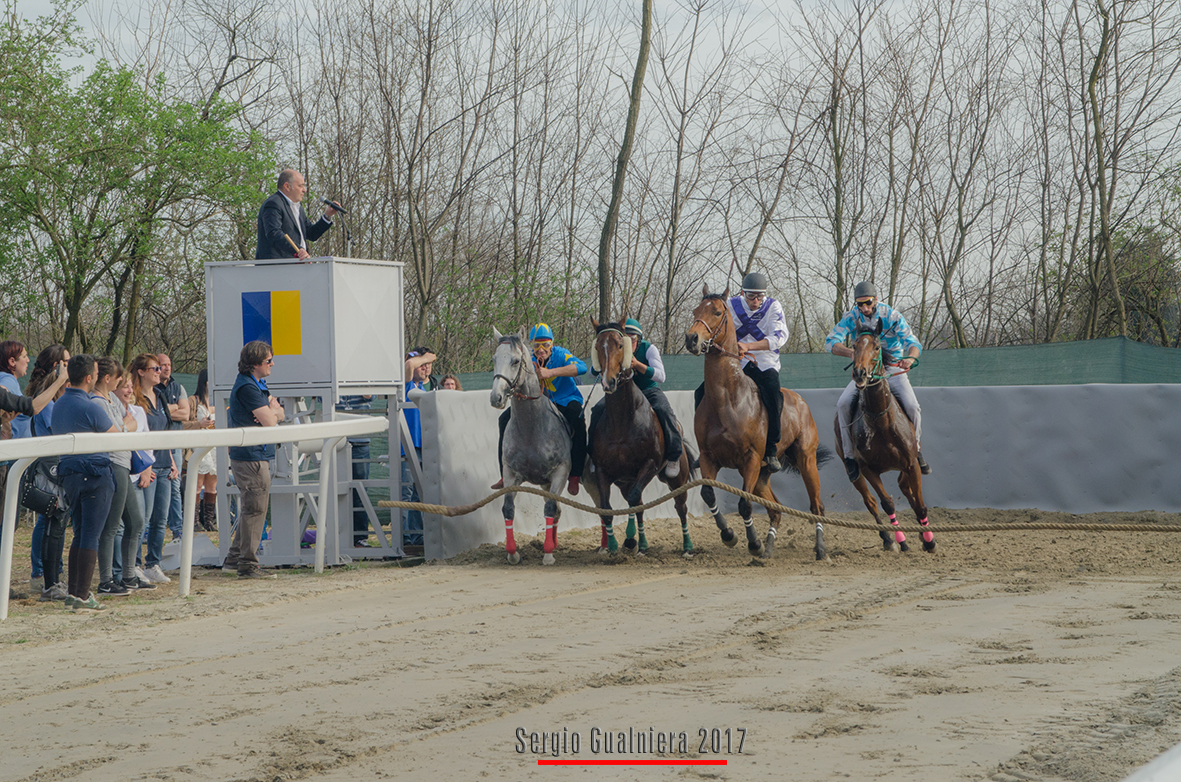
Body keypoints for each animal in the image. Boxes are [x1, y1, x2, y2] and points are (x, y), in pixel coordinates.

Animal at [488, 328, 571, 567]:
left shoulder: (560, 472)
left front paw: (548, 553)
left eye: (516, 361)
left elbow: (550, 508)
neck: (531, 427)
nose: (496, 397)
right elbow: (508, 508)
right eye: (494, 359)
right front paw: (513, 553)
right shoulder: (511, 473)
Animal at [581, 318, 689, 557]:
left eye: (621, 345)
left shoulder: (649, 464)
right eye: (598, 346)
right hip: (625, 480)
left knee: (680, 506)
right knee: (635, 502)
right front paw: (613, 546)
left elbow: (635, 501)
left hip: (677, 478)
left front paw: (637, 543)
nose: (608, 382)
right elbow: (608, 507)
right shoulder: (602, 470)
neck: (623, 422)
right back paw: (634, 541)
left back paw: (687, 546)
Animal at [684, 288, 831, 564]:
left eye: (717, 312)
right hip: (763, 477)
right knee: (776, 510)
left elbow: (744, 503)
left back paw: (820, 549)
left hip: (806, 461)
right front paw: (729, 535)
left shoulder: (750, 459)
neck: (729, 400)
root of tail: (801, 401)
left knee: (816, 506)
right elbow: (708, 494)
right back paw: (769, 549)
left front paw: (753, 543)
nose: (691, 339)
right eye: (696, 311)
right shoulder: (709, 458)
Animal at [840, 321, 930, 555]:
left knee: (907, 490)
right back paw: (889, 539)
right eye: (854, 345)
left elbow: (920, 504)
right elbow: (886, 503)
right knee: (870, 501)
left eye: (877, 346)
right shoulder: (868, 469)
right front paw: (902, 541)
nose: (860, 373)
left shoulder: (911, 464)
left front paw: (929, 540)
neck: (882, 423)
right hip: (854, 470)